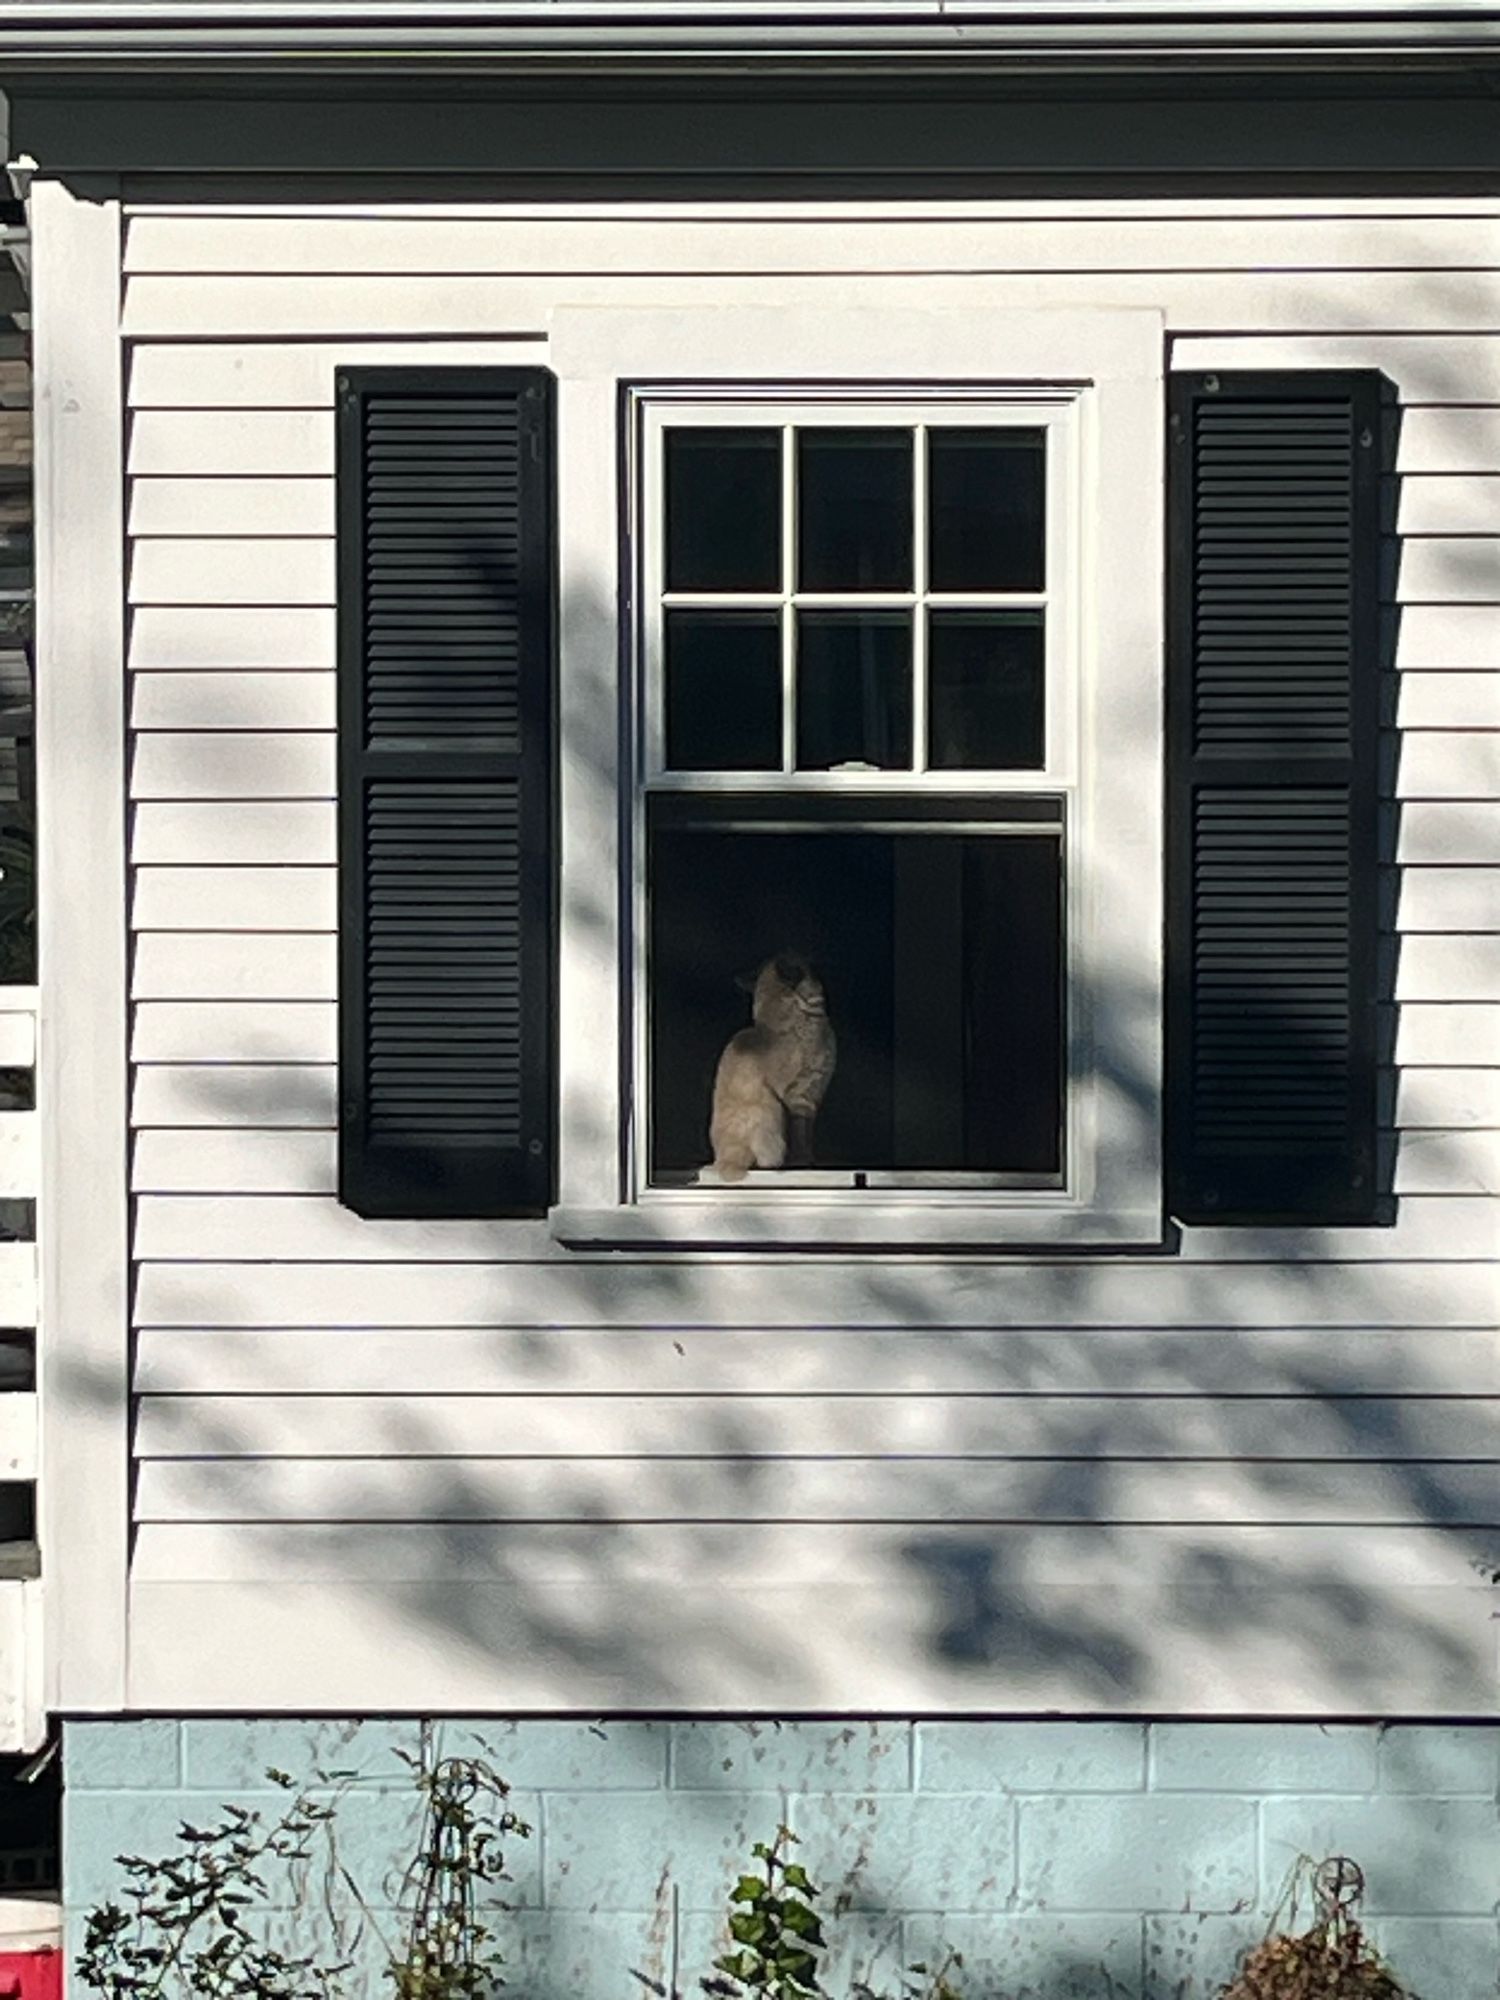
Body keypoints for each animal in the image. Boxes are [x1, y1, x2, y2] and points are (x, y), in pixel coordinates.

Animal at [704, 956, 836, 1184]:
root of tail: (722, 1160)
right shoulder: (798, 1095)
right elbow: (800, 1137)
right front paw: (802, 1163)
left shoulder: (811, 1097)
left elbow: (807, 1137)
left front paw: (809, 1160)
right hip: (771, 1108)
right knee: (763, 1160)